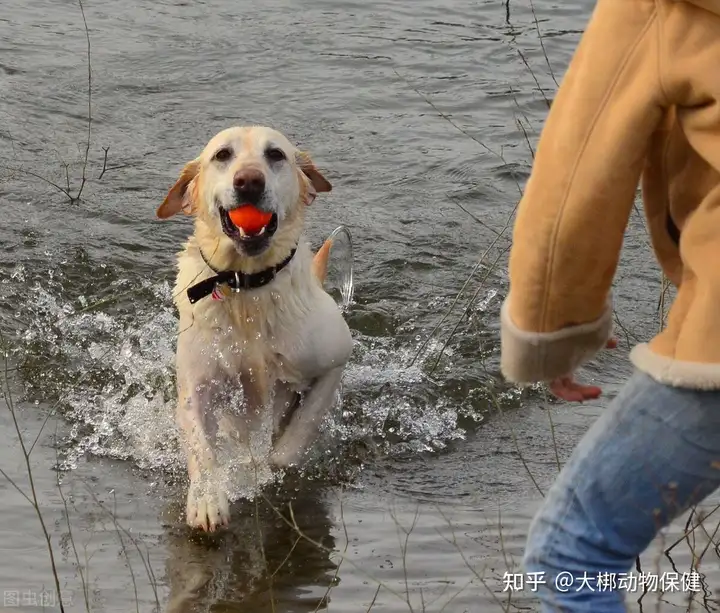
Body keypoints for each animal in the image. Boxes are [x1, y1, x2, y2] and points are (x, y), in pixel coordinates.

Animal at [156, 125, 352, 532]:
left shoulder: (336, 358)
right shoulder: (194, 388)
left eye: (275, 154)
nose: (248, 181)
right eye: (222, 155)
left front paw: (262, 468)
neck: (246, 287)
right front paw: (207, 499)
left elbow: (296, 435)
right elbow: (201, 445)